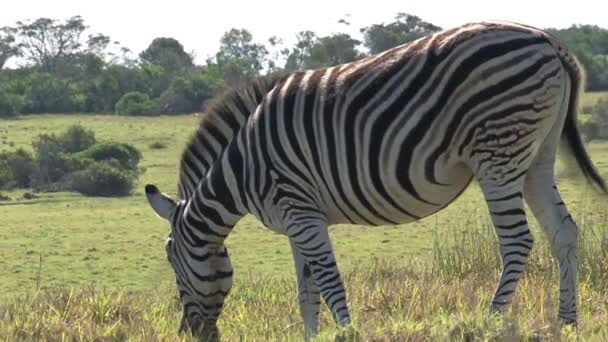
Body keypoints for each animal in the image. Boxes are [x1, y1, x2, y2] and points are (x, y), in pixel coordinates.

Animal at [145, 21, 604, 340]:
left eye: (171, 260)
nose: (192, 335)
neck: (242, 164)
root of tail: (548, 40)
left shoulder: (300, 210)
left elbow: (328, 280)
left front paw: (347, 332)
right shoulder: (296, 217)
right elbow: (306, 291)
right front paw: (313, 336)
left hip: (498, 151)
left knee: (517, 241)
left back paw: (487, 320)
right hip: (537, 157)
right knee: (563, 233)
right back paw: (567, 322)